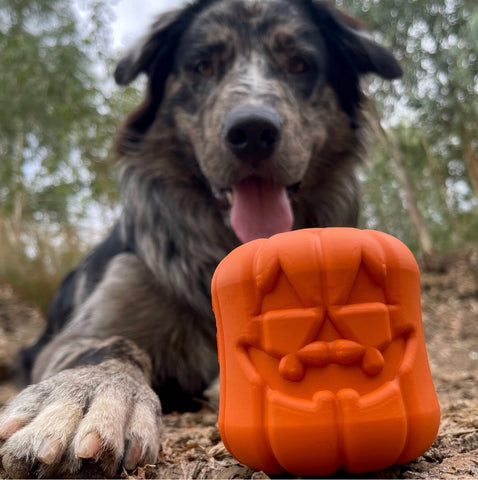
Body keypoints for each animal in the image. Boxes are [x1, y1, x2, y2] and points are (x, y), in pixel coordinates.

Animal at [0, 0, 402, 476]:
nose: (253, 132)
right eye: (202, 65)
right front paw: (87, 395)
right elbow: (111, 345)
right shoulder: (89, 323)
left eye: (300, 64)